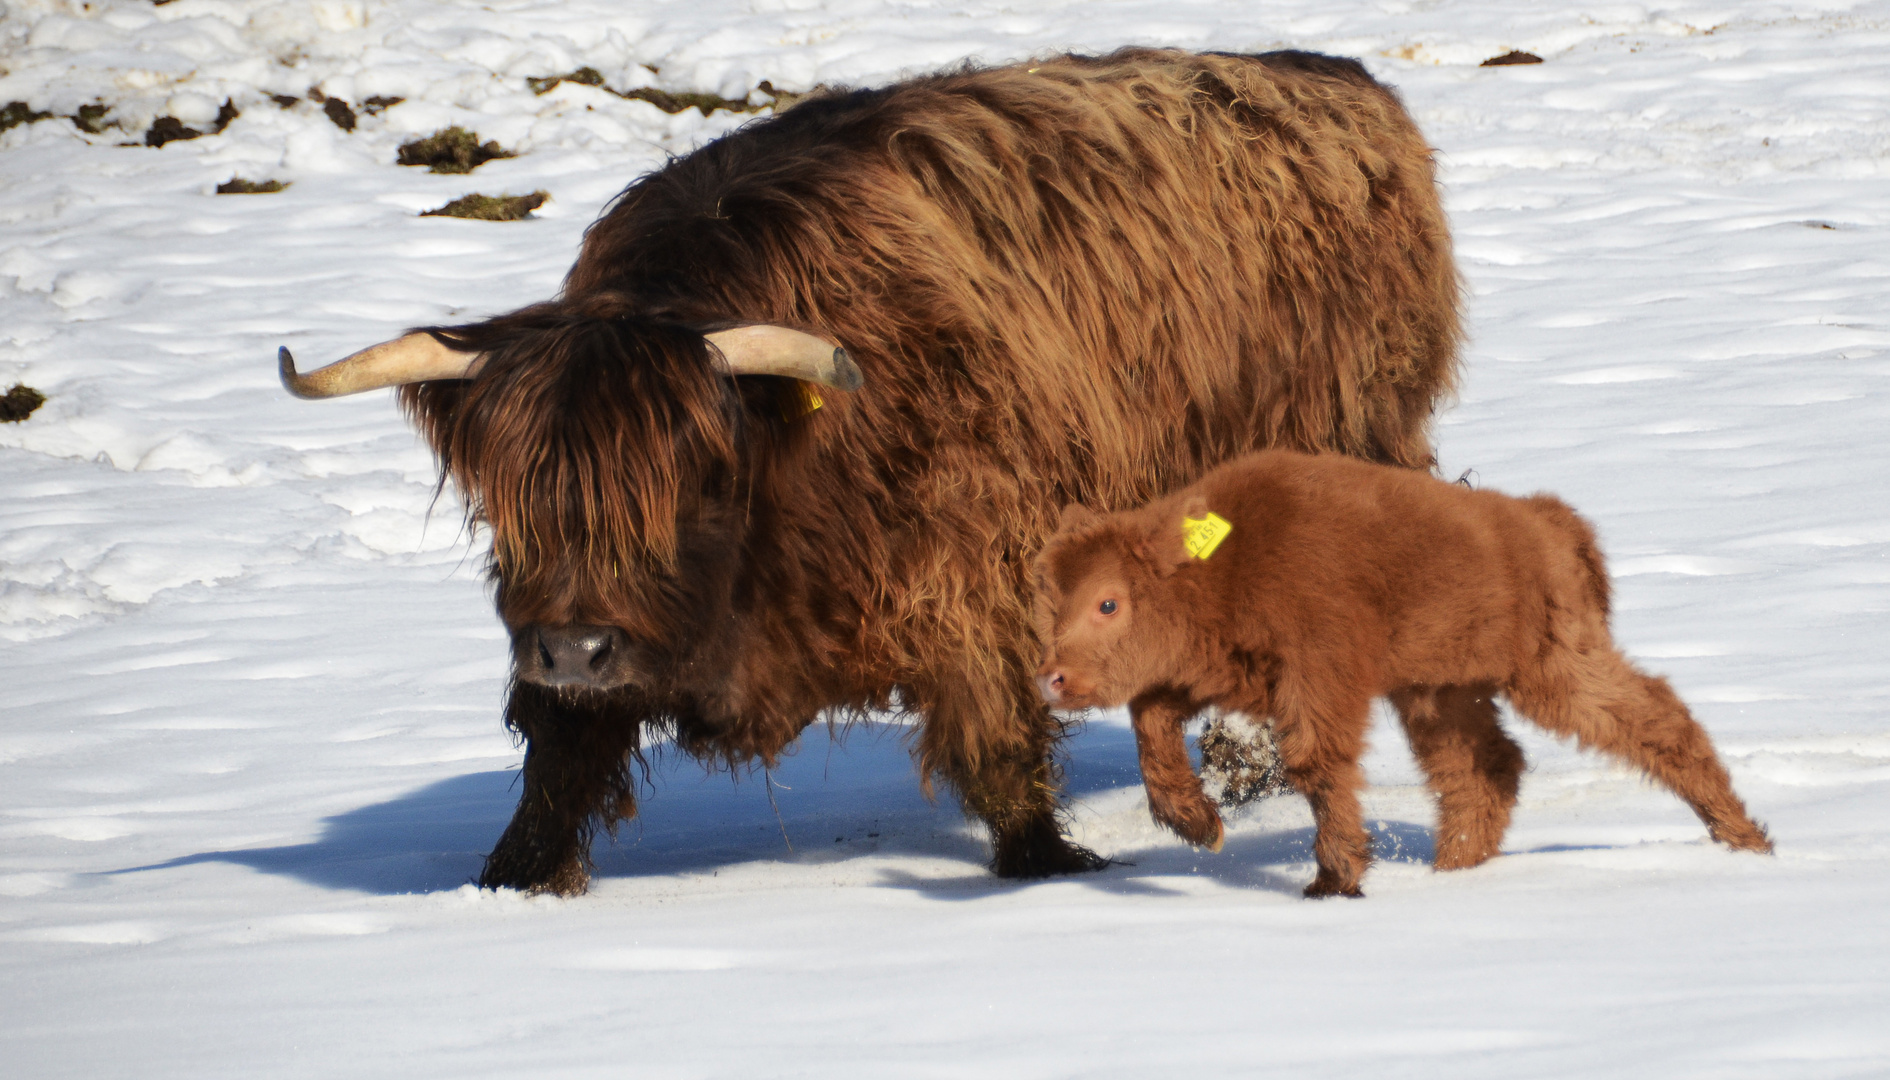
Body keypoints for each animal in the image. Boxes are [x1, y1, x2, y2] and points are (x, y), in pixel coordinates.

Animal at [275, 48, 1459, 896]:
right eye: (512, 501)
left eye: (692, 483)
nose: (576, 646)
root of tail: (1344, 85)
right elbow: (560, 760)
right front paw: (508, 880)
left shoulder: (977, 568)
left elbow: (997, 738)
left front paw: (1050, 864)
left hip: (1344, 442)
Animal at [1035, 448, 1769, 896]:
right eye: (1051, 597)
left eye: (1108, 601)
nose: (1052, 678)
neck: (1223, 562)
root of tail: (1544, 519)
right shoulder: (1213, 680)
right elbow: (1151, 731)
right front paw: (1201, 827)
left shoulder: (1319, 681)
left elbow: (1317, 764)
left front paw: (1334, 881)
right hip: (1439, 692)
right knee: (1484, 768)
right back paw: (1452, 871)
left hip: (1550, 670)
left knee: (1652, 714)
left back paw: (1746, 840)